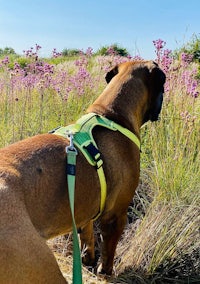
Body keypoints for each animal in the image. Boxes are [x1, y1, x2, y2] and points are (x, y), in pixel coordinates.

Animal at [0, 60, 166, 282]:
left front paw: (87, 257)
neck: (112, 115)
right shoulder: (116, 216)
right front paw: (105, 271)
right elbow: (109, 251)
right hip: (42, 266)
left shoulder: (85, 207)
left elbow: (87, 233)